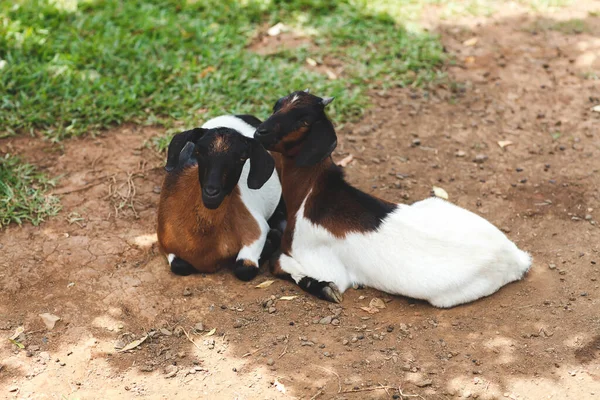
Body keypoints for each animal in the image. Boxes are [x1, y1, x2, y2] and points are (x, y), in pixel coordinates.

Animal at [157, 113, 284, 282]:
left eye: (242, 158)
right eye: (198, 152)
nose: (211, 192)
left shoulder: (257, 229)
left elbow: (244, 269)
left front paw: (272, 240)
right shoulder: (166, 244)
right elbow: (180, 266)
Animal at [253, 90, 528, 308]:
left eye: (303, 120)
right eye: (277, 105)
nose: (259, 132)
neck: (311, 195)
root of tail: (517, 258)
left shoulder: (320, 260)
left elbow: (279, 263)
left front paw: (324, 288)